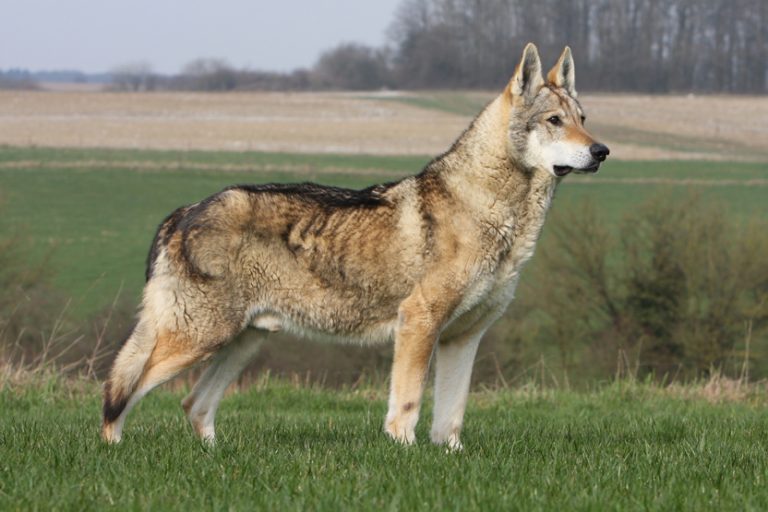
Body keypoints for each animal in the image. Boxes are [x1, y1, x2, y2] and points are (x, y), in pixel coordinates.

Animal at [102, 43, 609, 449]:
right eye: (554, 121)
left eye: (583, 120)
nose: (602, 151)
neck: (494, 213)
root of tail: (184, 211)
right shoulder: (418, 324)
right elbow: (407, 406)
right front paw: (405, 455)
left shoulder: (464, 338)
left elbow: (451, 419)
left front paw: (450, 457)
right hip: (196, 340)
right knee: (118, 395)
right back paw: (114, 453)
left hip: (244, 341)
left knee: (193, 404)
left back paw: (215, 456)